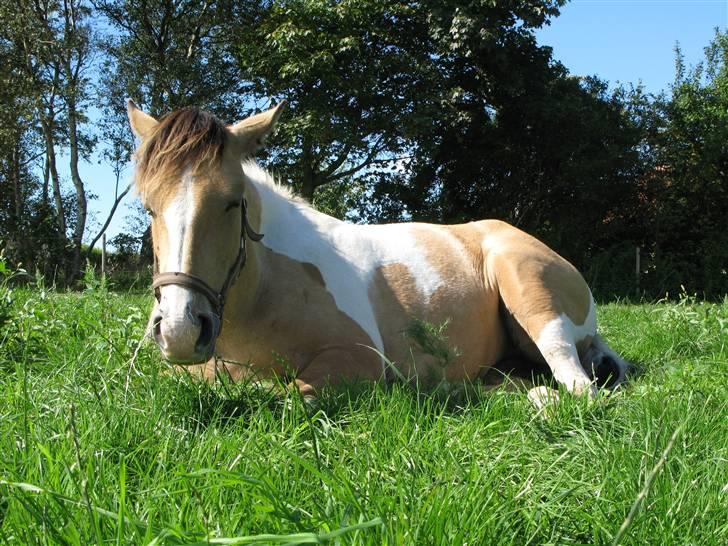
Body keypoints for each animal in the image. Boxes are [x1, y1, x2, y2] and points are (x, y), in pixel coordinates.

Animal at [128, 101, 628, 400]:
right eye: (148, 205)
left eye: (233, 202)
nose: (180, 329)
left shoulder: (359, 359)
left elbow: (283, 394)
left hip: (528, 290)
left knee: (577, 387)